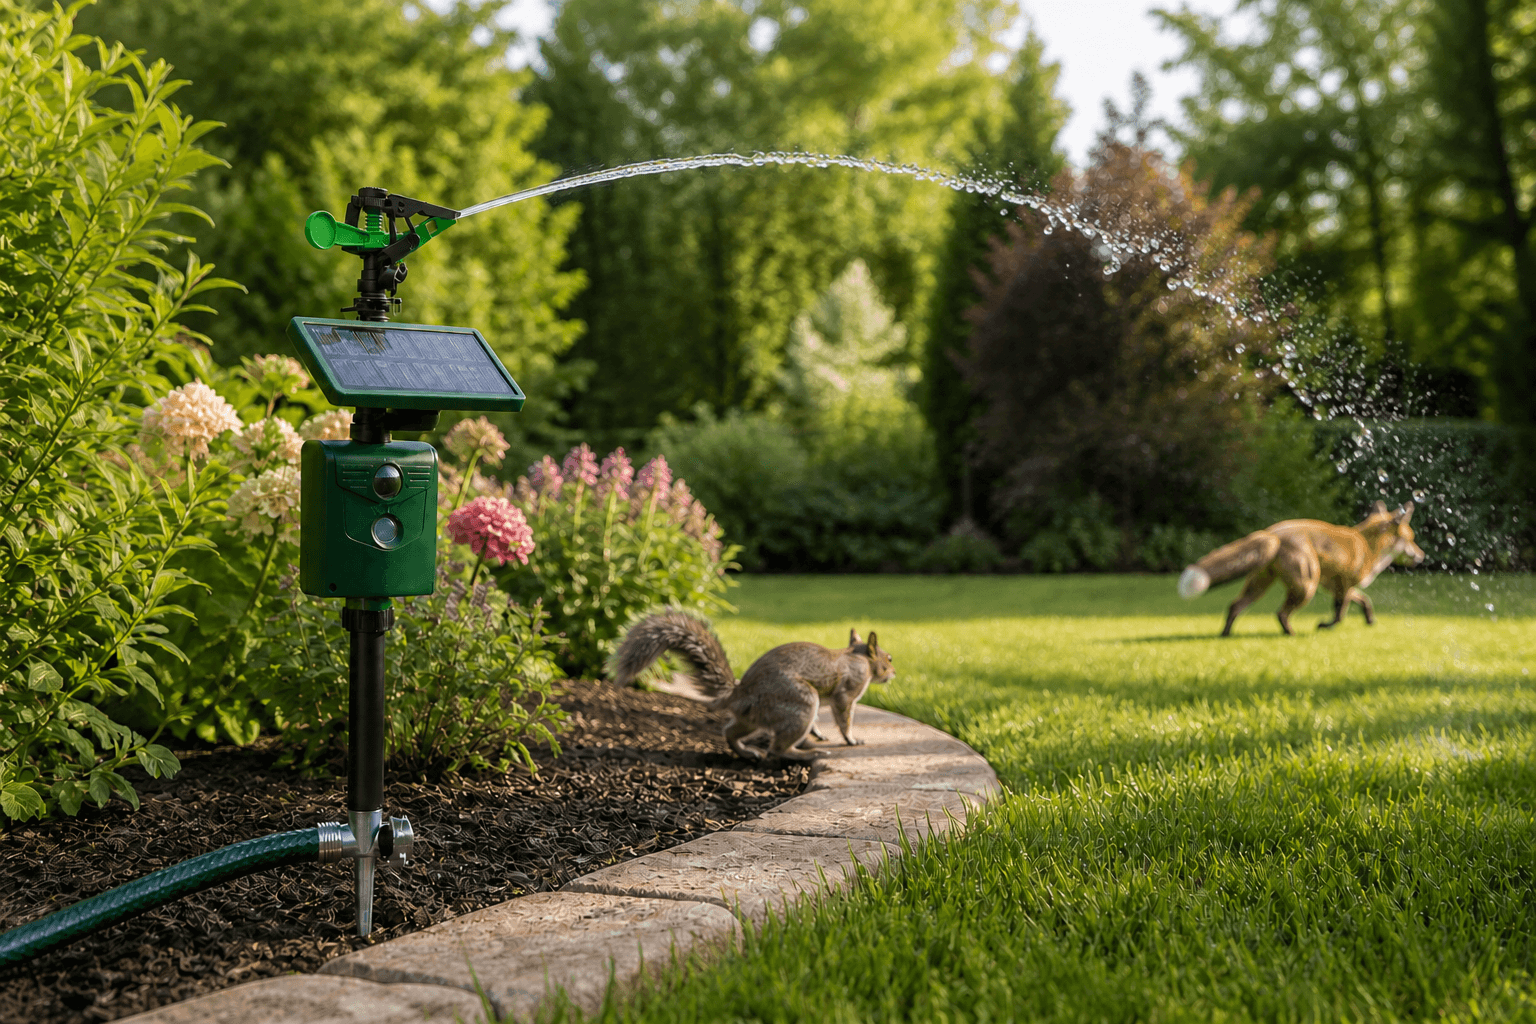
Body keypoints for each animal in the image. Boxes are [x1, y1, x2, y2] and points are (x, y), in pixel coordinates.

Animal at [608, 609, 895, 762]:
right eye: (889, 658)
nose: (893, 672)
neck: (859, 658)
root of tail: (739, 693)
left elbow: (819, 723)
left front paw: (819, 734)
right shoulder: (846, 692)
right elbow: (844, 718)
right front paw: (851, 739)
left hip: (753, 717)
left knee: (730, 731)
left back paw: (746, 752)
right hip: (802, 702)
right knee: (777, 749)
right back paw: (806, 754)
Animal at [1178, 500, 1426, 636]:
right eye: (1412, 539)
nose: (1422, 556)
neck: (1368, 545)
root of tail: (1273, 532)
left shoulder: (1337, 587)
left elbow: (1364, 601)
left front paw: (1370, 620)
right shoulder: (1343, 587)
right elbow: (1339, 614)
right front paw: (1325, 626)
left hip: (1259, 586)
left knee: (1234, 606)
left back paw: (1225, 635)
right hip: (1307, 586)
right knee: (1280, 613)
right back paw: (1290, 634)